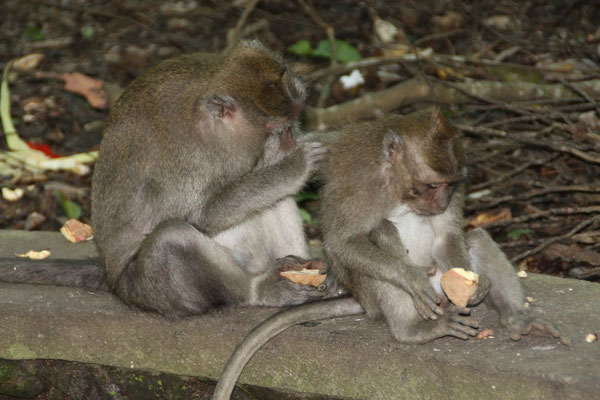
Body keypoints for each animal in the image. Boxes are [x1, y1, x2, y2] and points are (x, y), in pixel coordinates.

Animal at [0, 40, 338, 316]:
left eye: (294, 121)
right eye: (278, 127)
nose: (291, 138)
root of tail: (112, 278)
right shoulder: (192, 158)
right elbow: (201, 217)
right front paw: (296, 165)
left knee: (274, 198)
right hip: (150, 290)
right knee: (172, 238)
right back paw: (259, 291)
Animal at [213, 107, 568, 400]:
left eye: (449, 185)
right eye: (429, 186)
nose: (441, 202)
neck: (398, 186)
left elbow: (450, 235)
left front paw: (475, 286)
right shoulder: (363, 183)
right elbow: (344, 241)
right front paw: (409, 277)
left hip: (441, 283)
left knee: (477, 238)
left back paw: (518, 318)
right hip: (377, 295)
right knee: (379, 241)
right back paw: (413, 330)